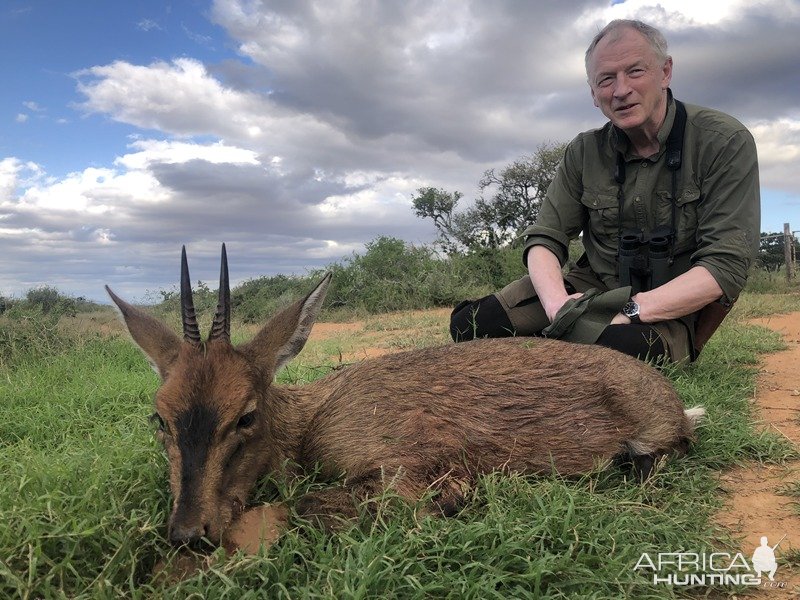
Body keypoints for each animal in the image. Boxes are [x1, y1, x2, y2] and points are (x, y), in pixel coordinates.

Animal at [104, 246, 700, 548]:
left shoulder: (407, 470)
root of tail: (672, 397)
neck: (313, 421)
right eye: (159, 418)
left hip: (654, 438)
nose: (188, 533)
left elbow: (301, 505)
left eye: (246, 415)